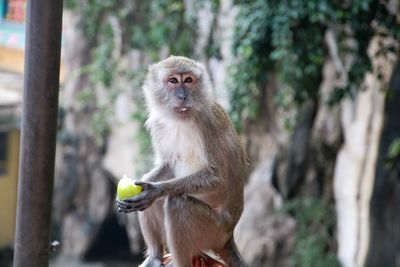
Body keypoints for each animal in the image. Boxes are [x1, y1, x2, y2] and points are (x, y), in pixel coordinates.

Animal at [116, 56, 247, 267]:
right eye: (173, 81)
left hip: (214, 231)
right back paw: (155, 256)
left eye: (188, 80)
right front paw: (146, 186)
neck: (183, 119)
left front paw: (155, 190)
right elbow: (167, 165)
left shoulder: (208, 123)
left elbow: (216, 178)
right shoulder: (159, 124)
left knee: (178, 204)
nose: (182, 96)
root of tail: (228, 237)